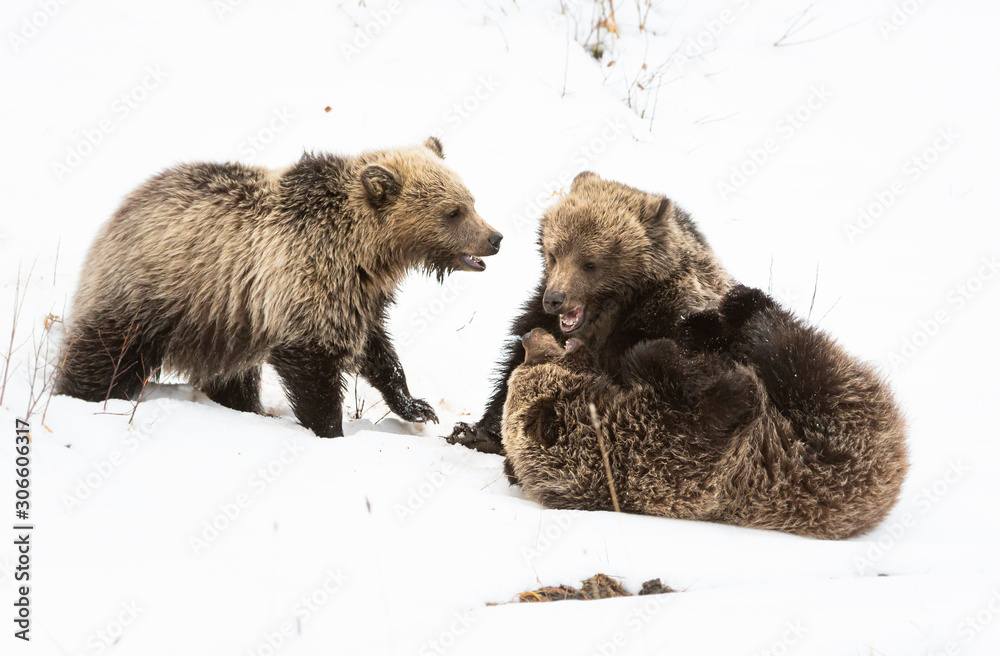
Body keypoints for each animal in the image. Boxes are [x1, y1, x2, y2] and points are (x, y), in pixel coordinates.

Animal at [57, 137, 503, 438]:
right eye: (453, 212)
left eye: (471, 200)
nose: (495, 238)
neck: (369, 250)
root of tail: (123, 207)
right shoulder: (307, 278)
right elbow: (314, 363)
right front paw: (330, 428)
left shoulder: (360, 295)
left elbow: (378, 350)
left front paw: (417, 406)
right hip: (155, 291)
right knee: (107, 353)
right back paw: (82, 395)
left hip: (223, 320)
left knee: (232, 374)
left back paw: (243, 406)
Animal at [459, 172, 908, 538]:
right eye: (553, 253)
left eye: (591, 262)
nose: (557, 298)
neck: (610, 317)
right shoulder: (540, 320)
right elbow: (509, 374)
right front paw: (477, 432)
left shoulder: (662, 317)